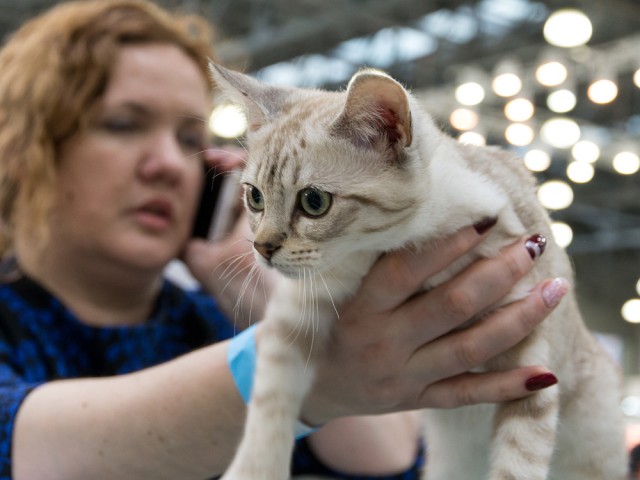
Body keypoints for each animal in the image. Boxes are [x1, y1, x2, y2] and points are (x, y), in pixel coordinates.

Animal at [210, 62, 624, 478]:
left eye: (314, 202)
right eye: (255, 197)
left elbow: (518, 462)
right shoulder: (296, 310)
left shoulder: (529, 354)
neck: (388, 247)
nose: (262, 248)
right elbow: (269, 397)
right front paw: (255, 468)